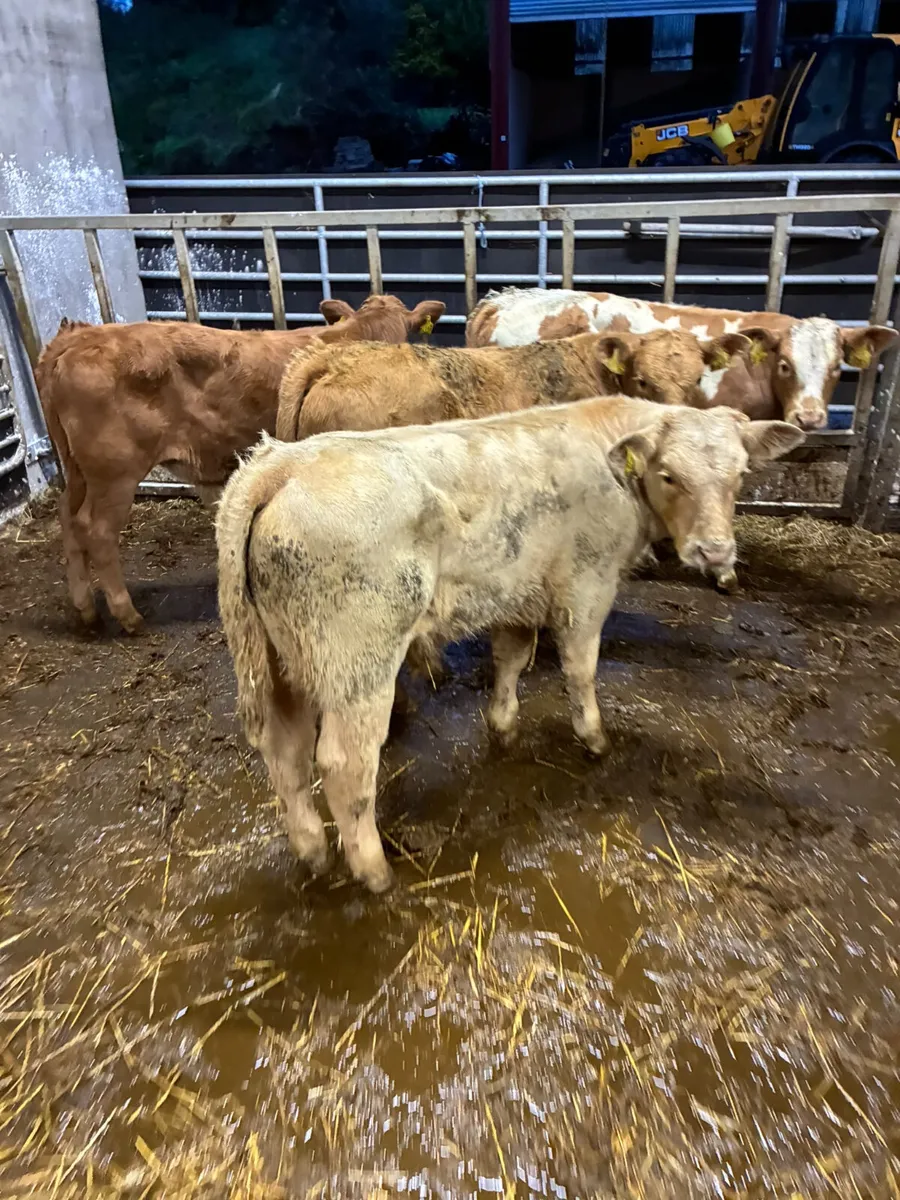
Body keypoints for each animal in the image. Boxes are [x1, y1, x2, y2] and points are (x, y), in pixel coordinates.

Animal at [36, 294, 445, 634]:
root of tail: (77, 339)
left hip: (77, 472)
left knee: (68, 519)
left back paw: (86, 611)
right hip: (115, 472)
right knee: (97, 531)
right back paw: (128, 616)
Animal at [216, 398, 804, 893]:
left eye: (740, 475)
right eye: (669, 475)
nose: (714, 550)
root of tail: (284, 462)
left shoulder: (519, 592)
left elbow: (512, 658)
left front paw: (503, 726)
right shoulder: (587, 585)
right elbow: (580, 666)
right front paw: (593, 737)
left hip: (278, 658)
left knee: (285, 749)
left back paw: (312, 852)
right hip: (358, 663)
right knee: (344, 763)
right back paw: (374, 870)